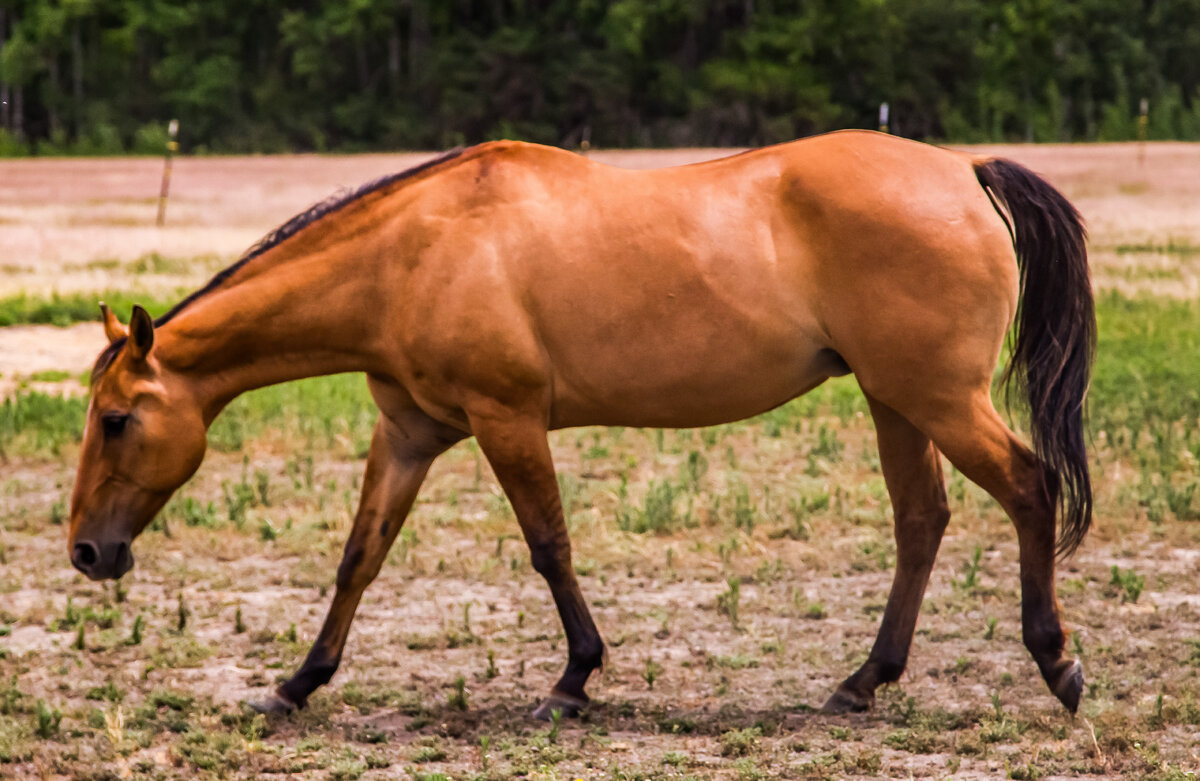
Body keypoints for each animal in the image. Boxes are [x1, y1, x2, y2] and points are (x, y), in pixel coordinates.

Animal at [68, 130, 1095, 719]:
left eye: (115, 420)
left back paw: (1056, 662)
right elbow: (361, 554)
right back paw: (863, 681)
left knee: (1028, 487)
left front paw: (573, 680)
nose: (86, 551)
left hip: (938, 399)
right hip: (897, 401)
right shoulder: (409, 432)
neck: (413, 252)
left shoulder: (507, 419)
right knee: (922, 521)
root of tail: (960, 168)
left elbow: (549, 545)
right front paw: (295, 684)